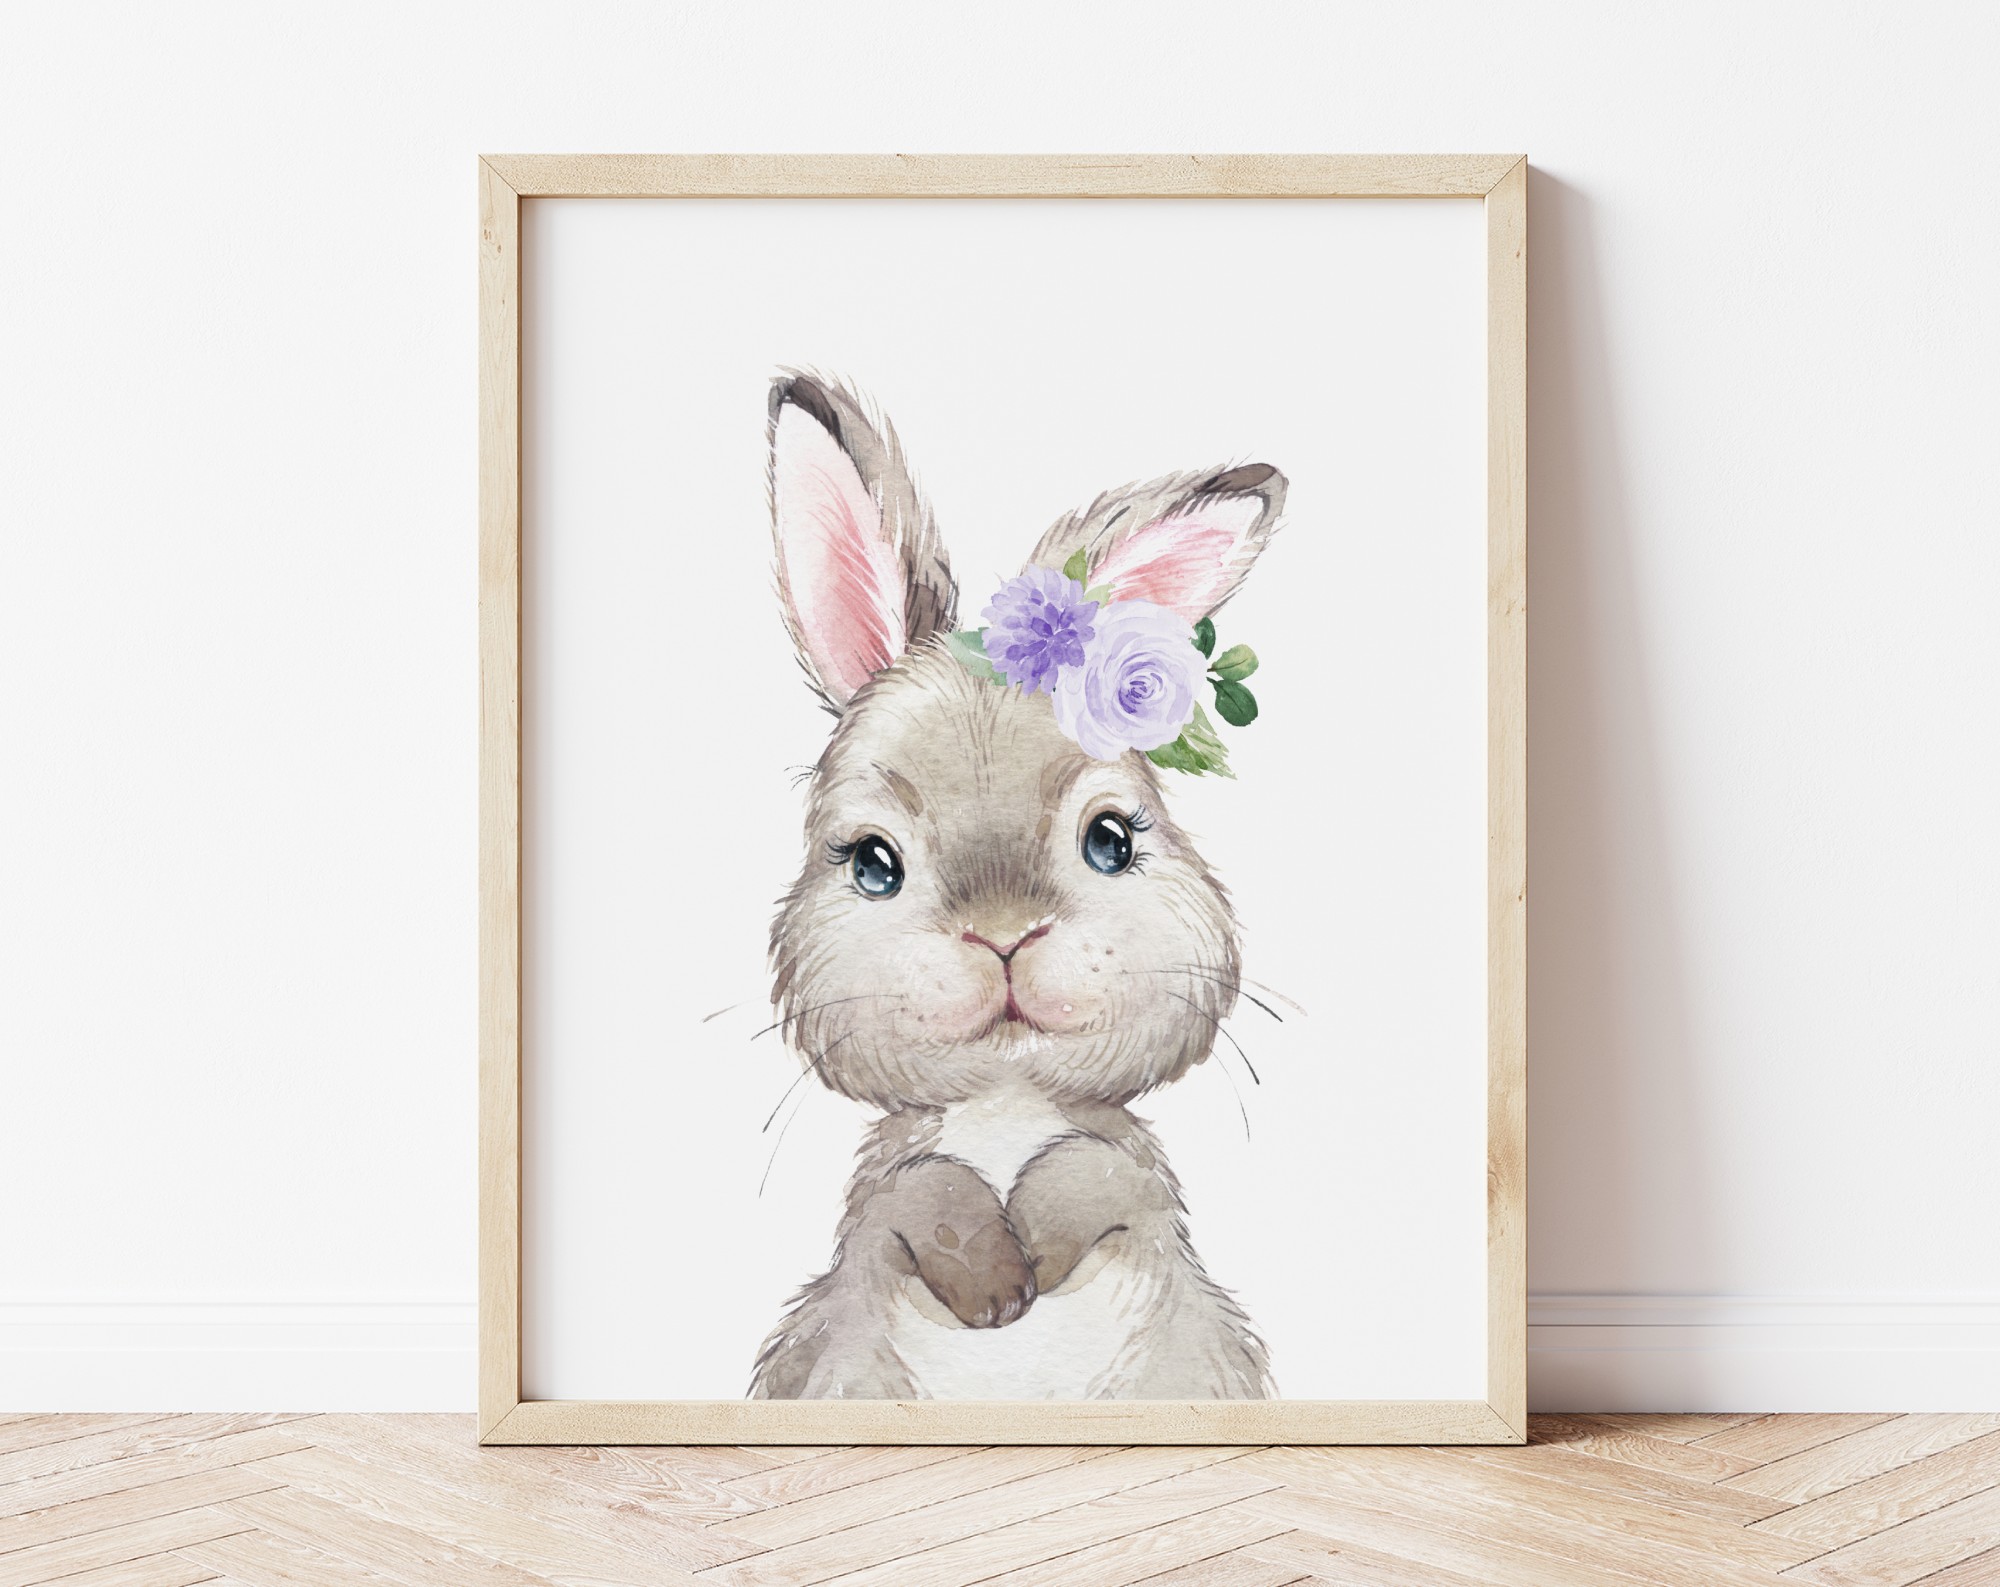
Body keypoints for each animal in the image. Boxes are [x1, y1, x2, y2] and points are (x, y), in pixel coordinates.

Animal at [747, 371, 1282, 1401]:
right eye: (872, 862)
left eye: (1110, 840)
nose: (1002, 937)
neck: (1006, 1098)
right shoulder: (883, 1208)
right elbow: (924, 1191)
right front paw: (993, 1291)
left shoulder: (1135, 1191)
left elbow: (1088, 1170)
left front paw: (1029, 1261)